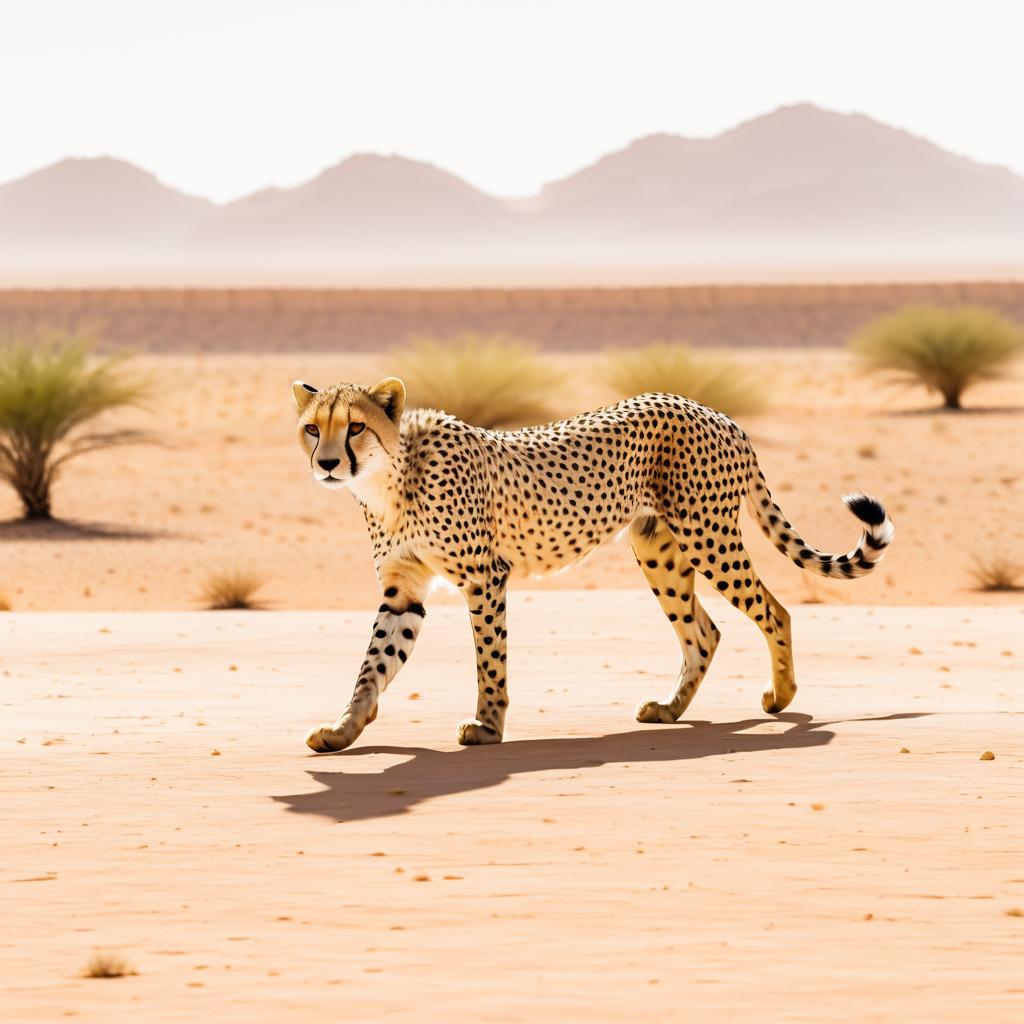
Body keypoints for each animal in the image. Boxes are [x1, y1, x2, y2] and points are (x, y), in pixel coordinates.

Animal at [292, 376, 892, 753]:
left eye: (355, 427)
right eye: (313, 428)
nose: (328, 463)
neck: (388, 480)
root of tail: (713, 411)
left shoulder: (484, 578)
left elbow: (489, 660)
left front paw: (487, 725)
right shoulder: (403, 591)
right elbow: (373, 665)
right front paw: (344, 729)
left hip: (707, 535)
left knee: (774, 609)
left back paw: (781, 697)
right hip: (658, 548)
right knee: (704, 631)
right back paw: (670, 708)